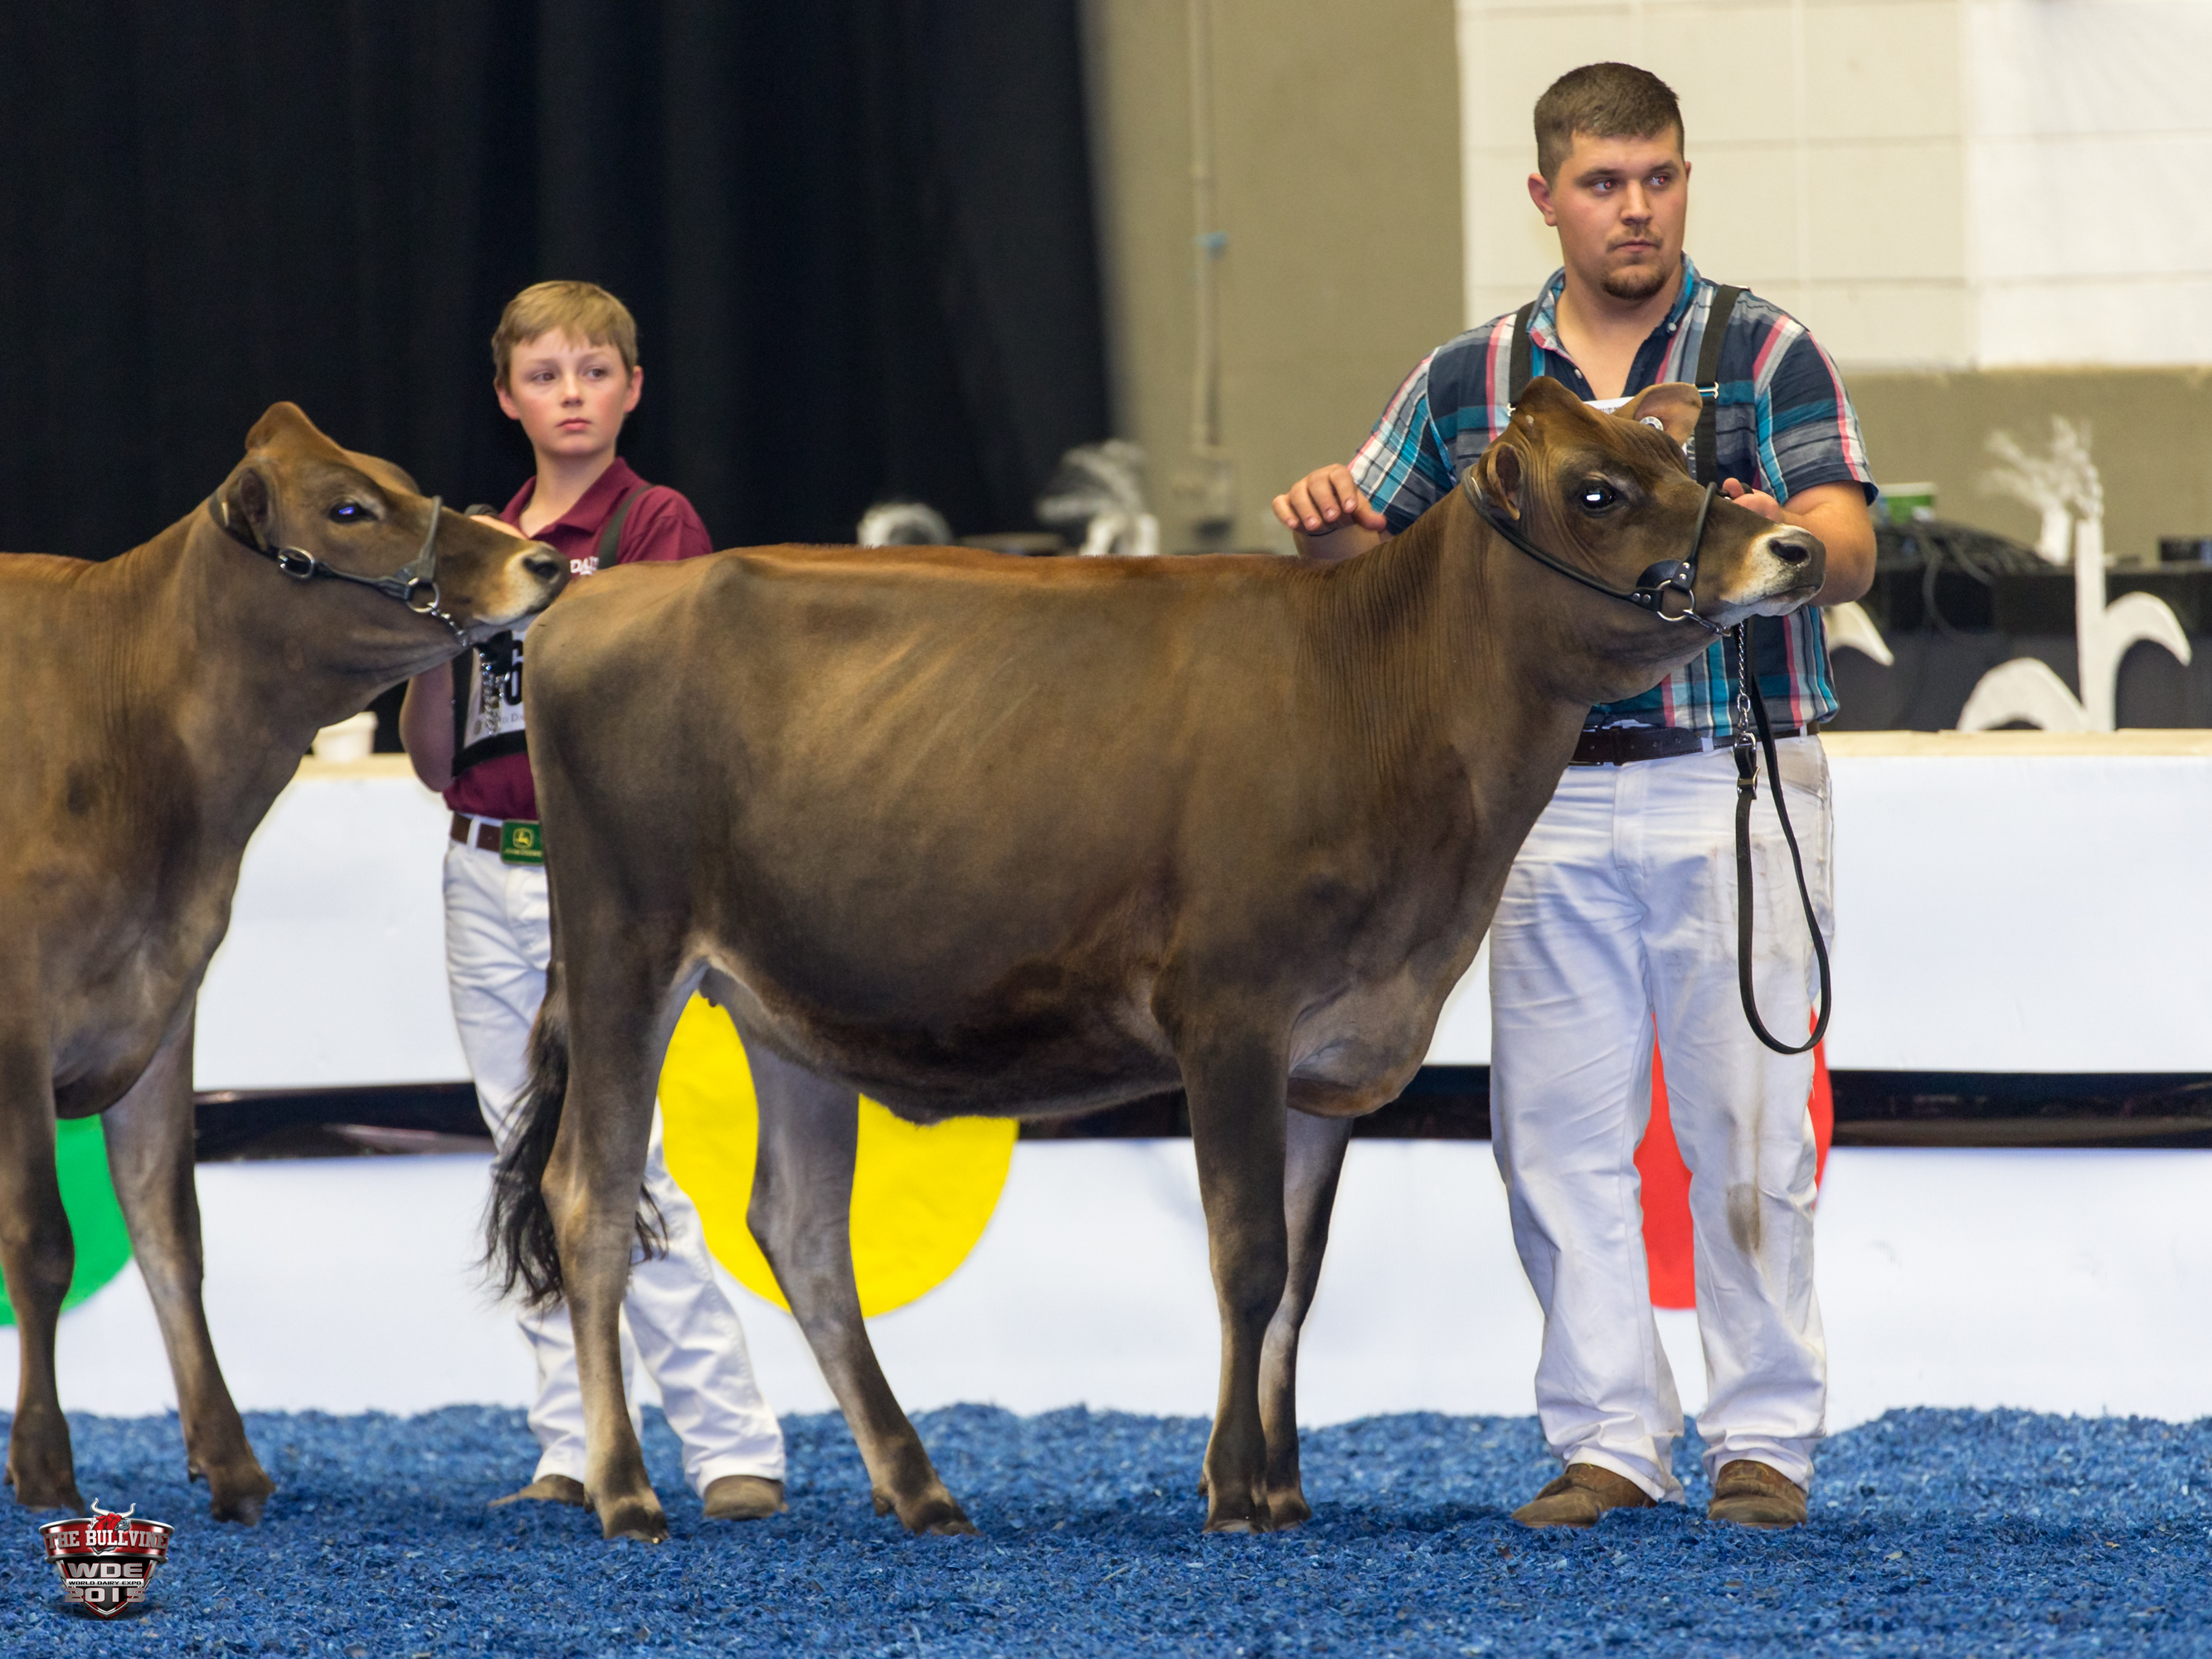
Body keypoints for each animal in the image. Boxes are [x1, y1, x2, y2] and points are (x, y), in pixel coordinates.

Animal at [1, 404, 565, 1522]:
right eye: (347, 509)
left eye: (398, 478)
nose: (541, 558)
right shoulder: (18, 1016)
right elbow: (42, 1241)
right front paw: (43, 1466)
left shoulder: (164, 999)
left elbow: (172, 1229)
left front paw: (230, 1461)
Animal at [488, 377, 1824, 1540]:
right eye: (1600, 489)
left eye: (1688, 462)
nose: (1795, 548)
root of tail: (597, 601)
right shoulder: (1230, 1012)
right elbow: (1245, 1260)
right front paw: (1231, 1488)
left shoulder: (1328, 1051)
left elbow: (1299, 1277)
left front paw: (1282, 1492)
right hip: (622, 944)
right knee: (589, 1198)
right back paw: (627, 1494)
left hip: (784, 1006)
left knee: (803, 1232)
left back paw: (920, 1491)